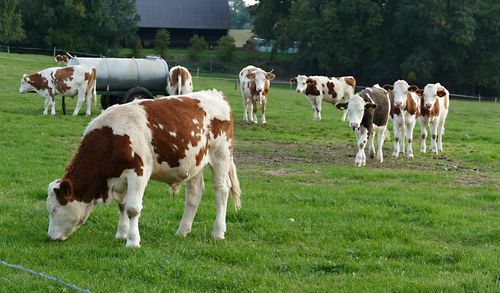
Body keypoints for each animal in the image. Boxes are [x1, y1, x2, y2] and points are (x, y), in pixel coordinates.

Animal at [47, 89, 242, 246]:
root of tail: (217, 94)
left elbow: (132, 208)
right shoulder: (121, 178)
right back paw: (182, 231)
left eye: (54, 209)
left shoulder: (138, 172)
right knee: (194, 194)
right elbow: (122, 205)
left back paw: (218, 232)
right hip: (195, 162)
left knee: (221, 191)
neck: (111, 138)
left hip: (221, 155)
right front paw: (121, 234)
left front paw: (132, 241)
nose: (50, 237)